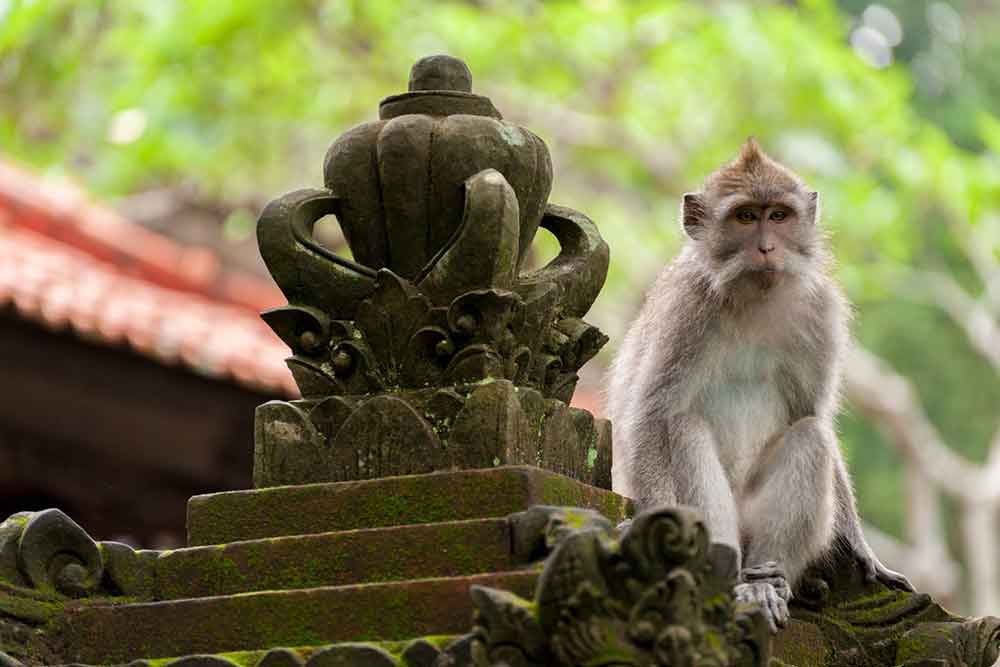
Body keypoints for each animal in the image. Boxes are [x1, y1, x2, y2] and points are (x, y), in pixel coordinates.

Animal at [606, 138, 913, 633]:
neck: (754, 294)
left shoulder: (820, 310)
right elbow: (652, 414)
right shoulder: (683, 308)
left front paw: (862, 548)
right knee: (683, 427)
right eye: (746, 217)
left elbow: (812, 413)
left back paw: (768, 580)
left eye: (780, 216)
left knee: (810, 435)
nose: (768, 247)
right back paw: (729, 581)